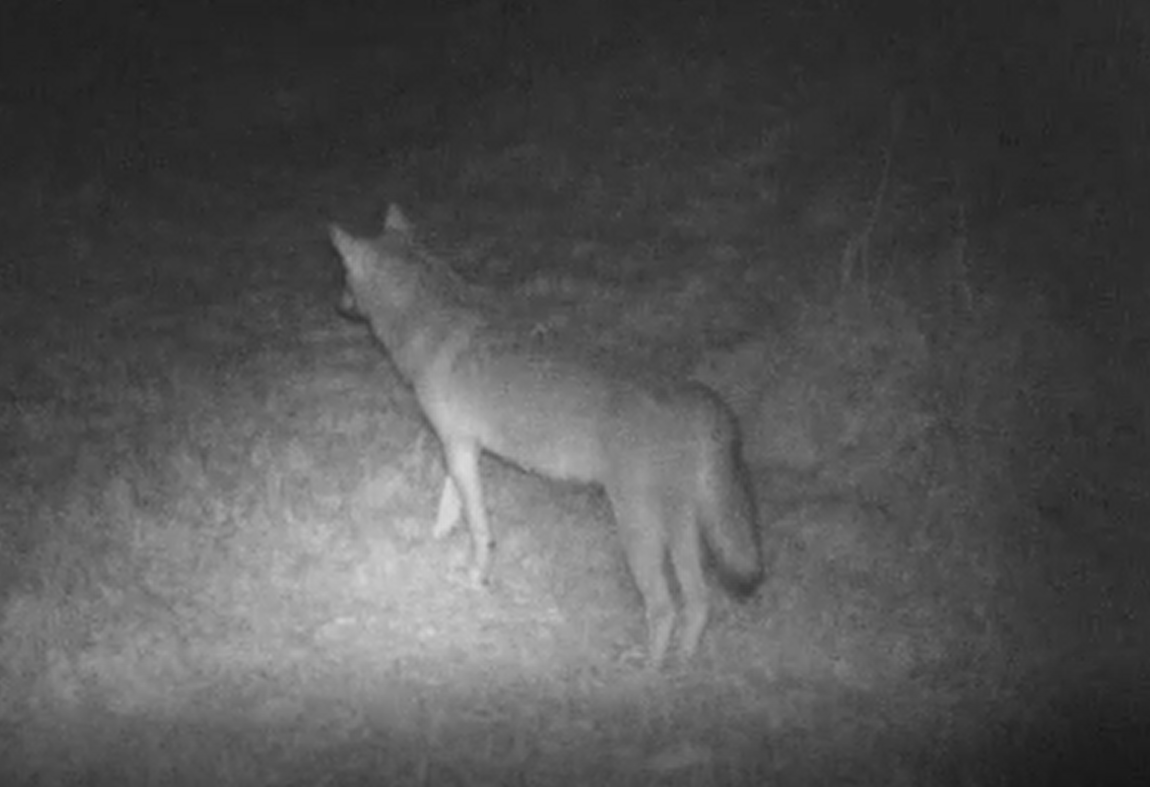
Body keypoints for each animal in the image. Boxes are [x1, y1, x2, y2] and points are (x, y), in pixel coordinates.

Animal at [329, 205, 762, 667]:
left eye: (343, 277)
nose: (338, 306)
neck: (427, 321)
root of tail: (700, 396)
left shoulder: (458, 443)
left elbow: (479, 527)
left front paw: (475, 576)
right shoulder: (461, 445)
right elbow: (452, 502)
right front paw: (439, 535)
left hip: (639, 529)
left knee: (665, 607)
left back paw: (646, 671)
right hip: (680, 530)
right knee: (699, 602)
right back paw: (680, 666)